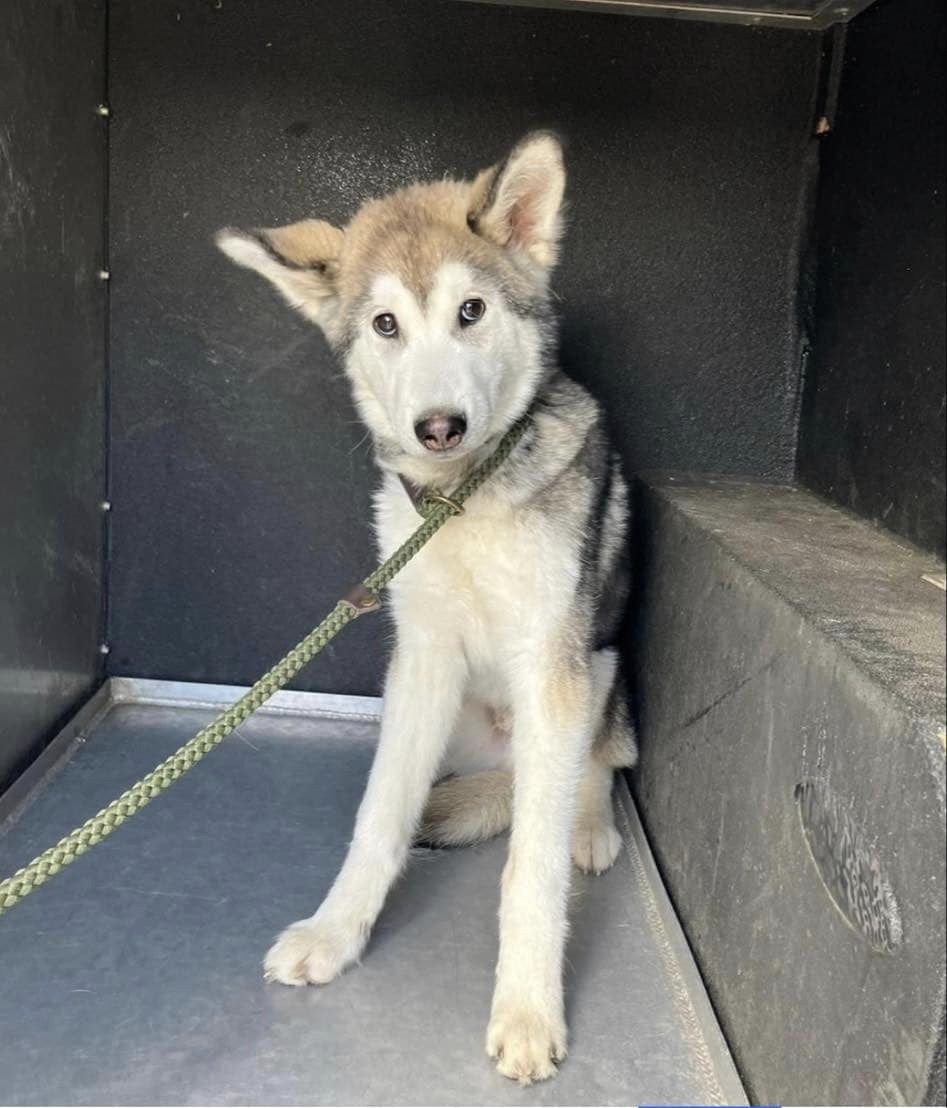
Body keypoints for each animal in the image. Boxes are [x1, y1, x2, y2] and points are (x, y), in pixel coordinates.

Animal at [218, 129, 642, 1081]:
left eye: (471, 312)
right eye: (386, 325)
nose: (438, 427)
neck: (462, 502)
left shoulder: (554, 664)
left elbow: (531, 870)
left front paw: (527, 1008)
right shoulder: (420, 660)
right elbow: (380, 815)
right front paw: (336, 932)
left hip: (598, 674)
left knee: (595, 768)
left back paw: (589, 827)